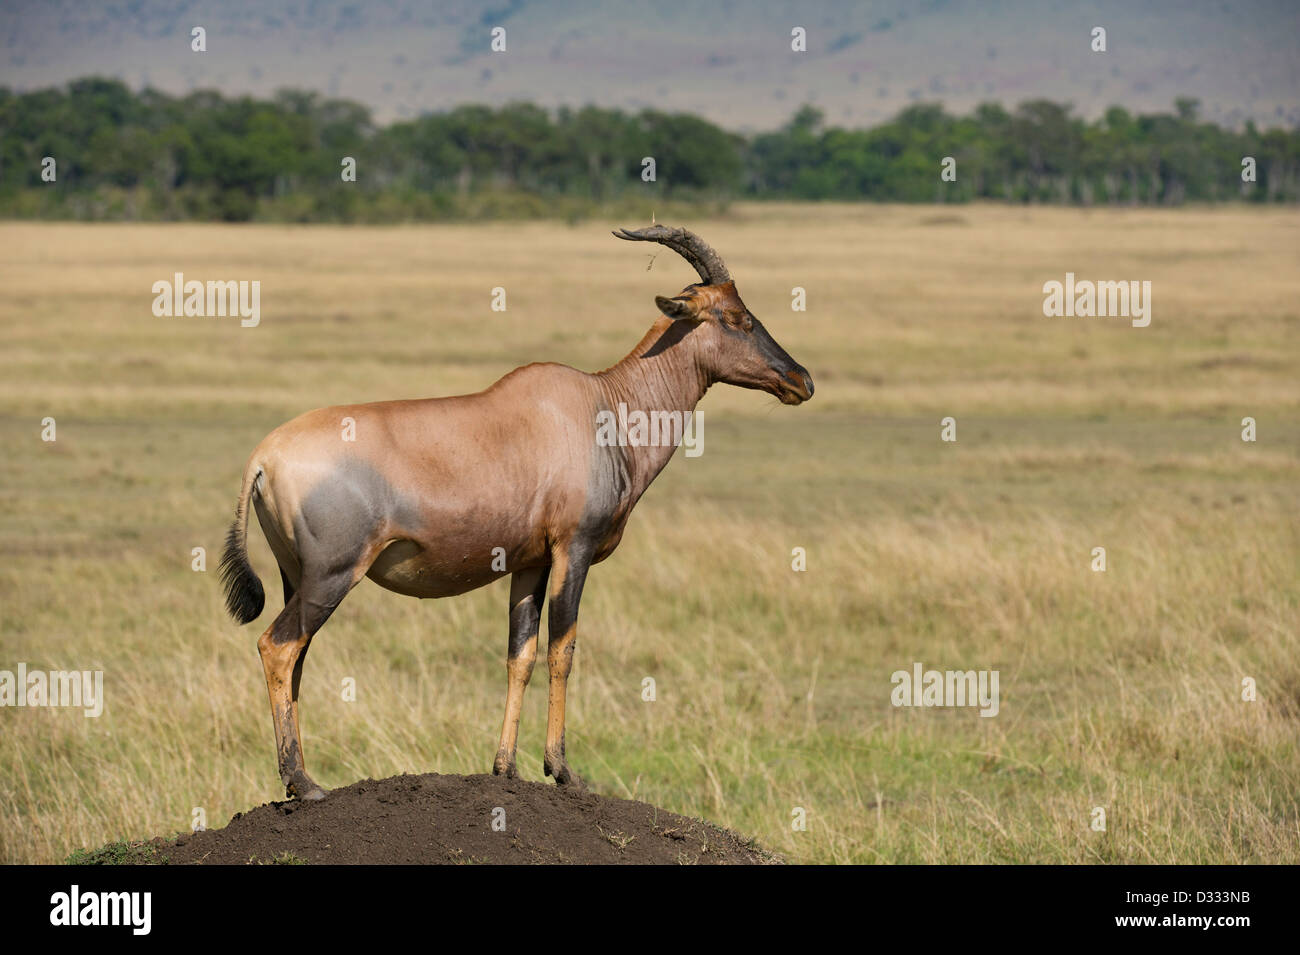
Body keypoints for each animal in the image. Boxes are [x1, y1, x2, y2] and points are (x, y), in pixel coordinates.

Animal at [222, 226, 811, 800]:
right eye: (735, 317)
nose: (801, 380)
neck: (599, 405)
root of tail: (263, 456)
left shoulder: (530, 562)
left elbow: (519, 655)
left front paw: (505, 768)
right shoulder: (573, 549)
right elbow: (562, 648)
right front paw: (562, 769)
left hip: (297, 576)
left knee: (297, 658)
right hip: (333, 575)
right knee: (277, 647)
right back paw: (304, 783)